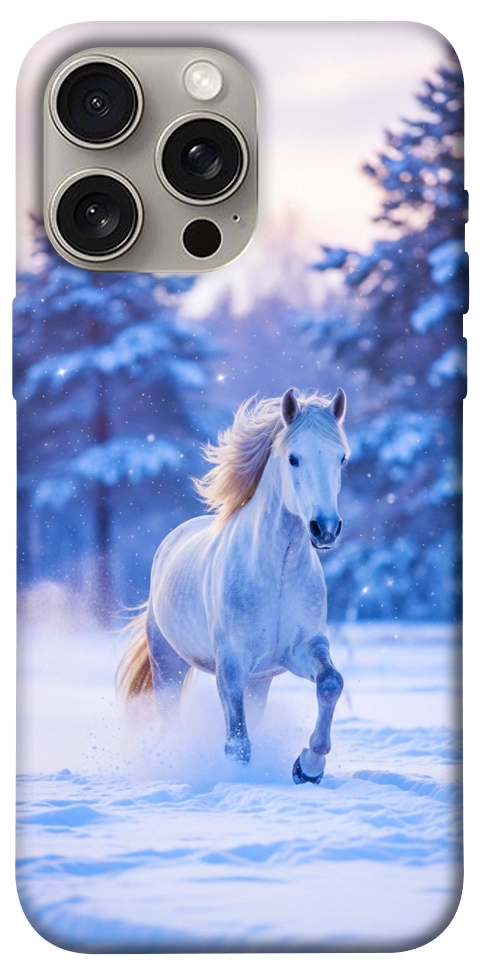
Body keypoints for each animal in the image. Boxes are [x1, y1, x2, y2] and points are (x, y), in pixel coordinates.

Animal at [118, 387, 350, 784]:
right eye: (294, 458)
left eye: (341, 459)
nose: (325, 529)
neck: (277, 574)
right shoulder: (231, 664)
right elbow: (237, 742)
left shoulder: (301, 649)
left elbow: (331, 683)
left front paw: (308, 767)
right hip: (168, 665)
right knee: (170, 717)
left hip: (259, 682)